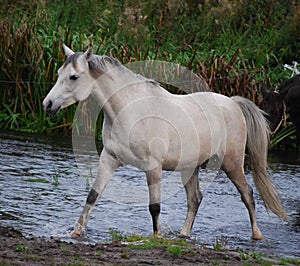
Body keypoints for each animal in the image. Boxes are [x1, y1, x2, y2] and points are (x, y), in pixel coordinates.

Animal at [42, 44, 288, 240]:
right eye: (59, 72)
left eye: (74, 77)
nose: (48, 104)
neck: (129, 109)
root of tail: (234, 103)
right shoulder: (109, 159)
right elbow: (93, 196)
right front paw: (76, 231)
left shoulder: (153, 167)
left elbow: (154, 207)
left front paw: (157, 236)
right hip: (190, 167)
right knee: (195, 199)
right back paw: (183, 235)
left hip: (232, 163)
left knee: (247, 194)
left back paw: (257, 235)